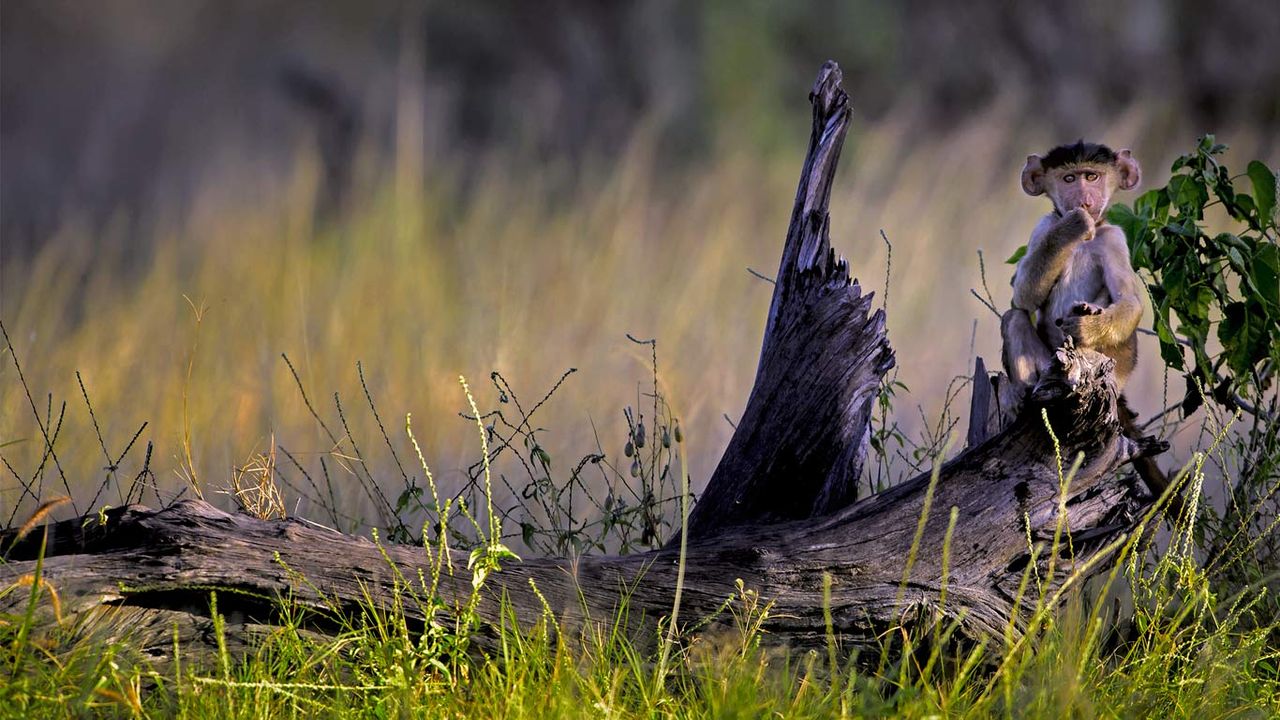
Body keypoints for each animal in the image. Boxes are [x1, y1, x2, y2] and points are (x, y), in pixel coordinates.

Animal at [1001, 140, 1178, 512]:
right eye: (1069, 178)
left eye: (1092, 176)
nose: (1084, 199)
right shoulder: (1044, 226)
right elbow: (1022, 295)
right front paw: (1072, 225)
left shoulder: (1114, 239)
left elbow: (1130, 301)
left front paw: (1086, 326)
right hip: (1049, 366)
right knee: (1014, 318)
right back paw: (1025, 396)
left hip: (1114, 369)